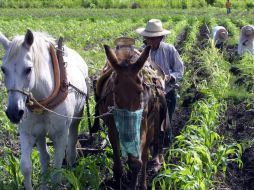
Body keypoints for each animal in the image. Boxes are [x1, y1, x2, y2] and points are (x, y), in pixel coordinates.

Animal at [0, 29, 89, 189]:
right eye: (3, 69)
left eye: (28, 69)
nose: (14, 113)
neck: (45, 100)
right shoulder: (27, 132)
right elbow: (26, 166)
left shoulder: (61, 134)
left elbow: (57, 170)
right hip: (40, 134)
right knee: (44, 157)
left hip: (76, 119)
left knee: (72, 146)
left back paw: (72, 167)